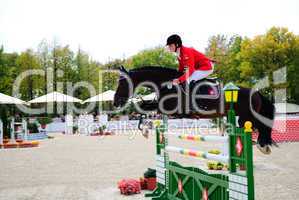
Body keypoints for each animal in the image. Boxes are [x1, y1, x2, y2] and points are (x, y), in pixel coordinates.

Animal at [114, 66, 276, 154]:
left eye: (122, 83)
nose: (116, 102)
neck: (167, 85)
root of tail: (255, 92)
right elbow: (144, 109)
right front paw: (145, 129)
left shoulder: (171, 110)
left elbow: (146, 109)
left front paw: (145, 130)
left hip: (245, 116)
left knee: (259, 125)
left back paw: (263, 146)